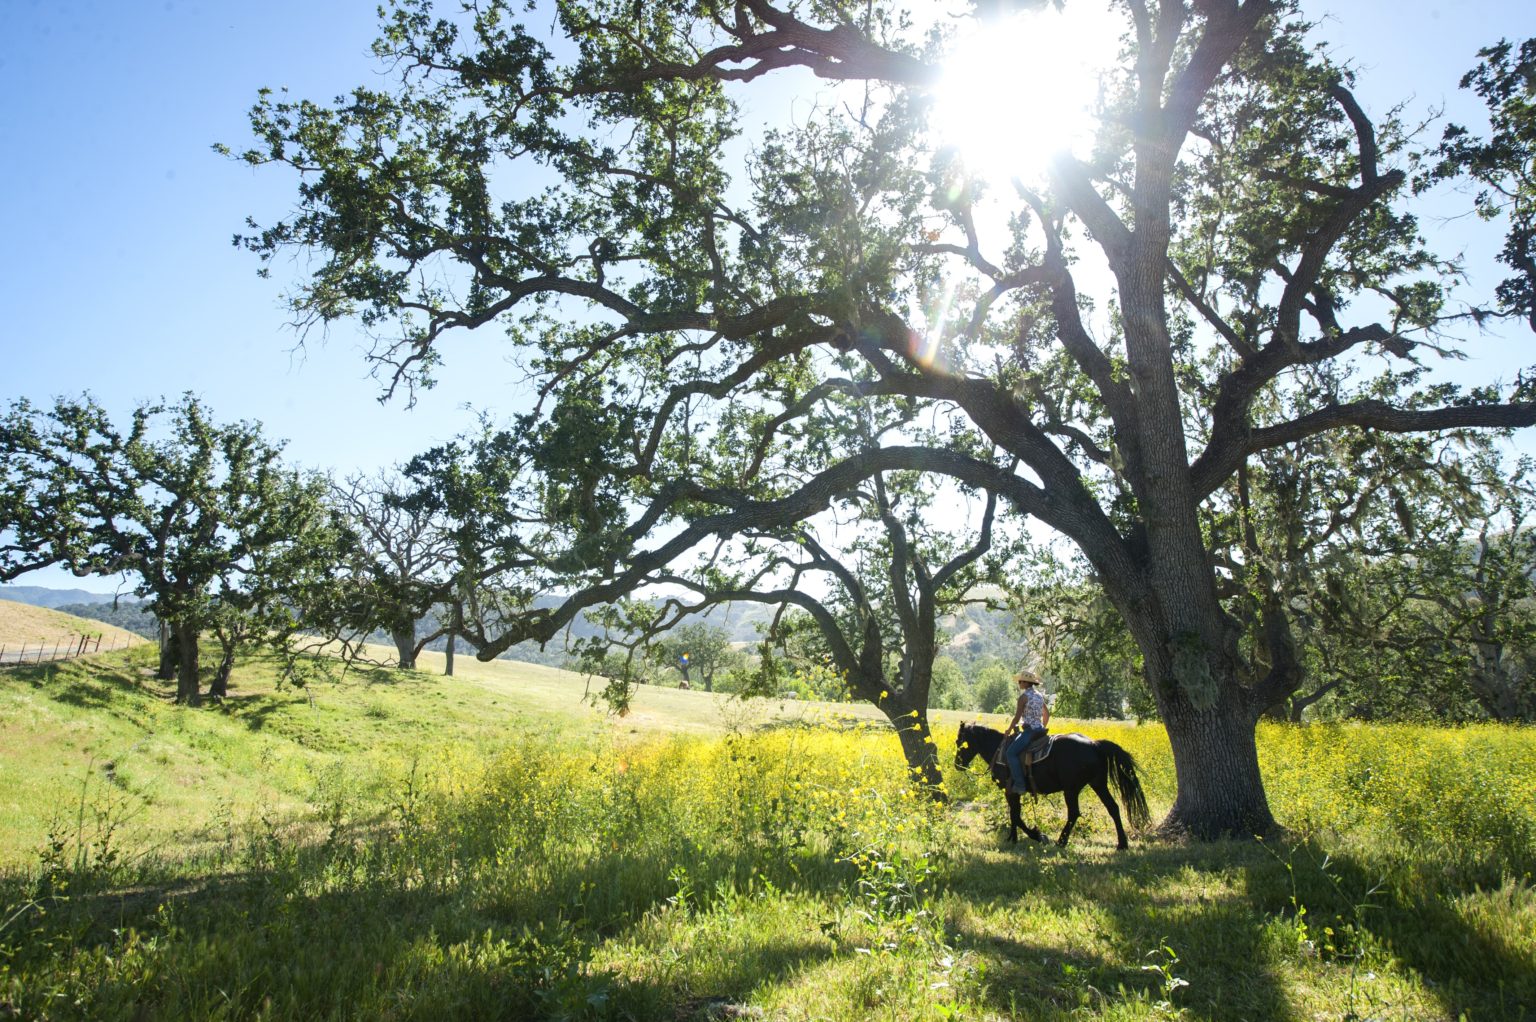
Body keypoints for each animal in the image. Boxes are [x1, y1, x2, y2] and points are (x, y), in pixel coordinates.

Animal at [954, 722, 1150, 849]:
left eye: (959, 742)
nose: (957, 765)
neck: (999, 750)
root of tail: (1094, 744)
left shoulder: (1010, 791)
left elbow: (1016, 815)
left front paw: (1037, 835)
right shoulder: (1012, 792)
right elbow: (1014, 814)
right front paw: (1014, 837)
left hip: (1071, 789)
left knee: (1074, 813)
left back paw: (1061, 841)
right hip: (1098, 784)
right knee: (1113, 808)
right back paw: (1122, 844)